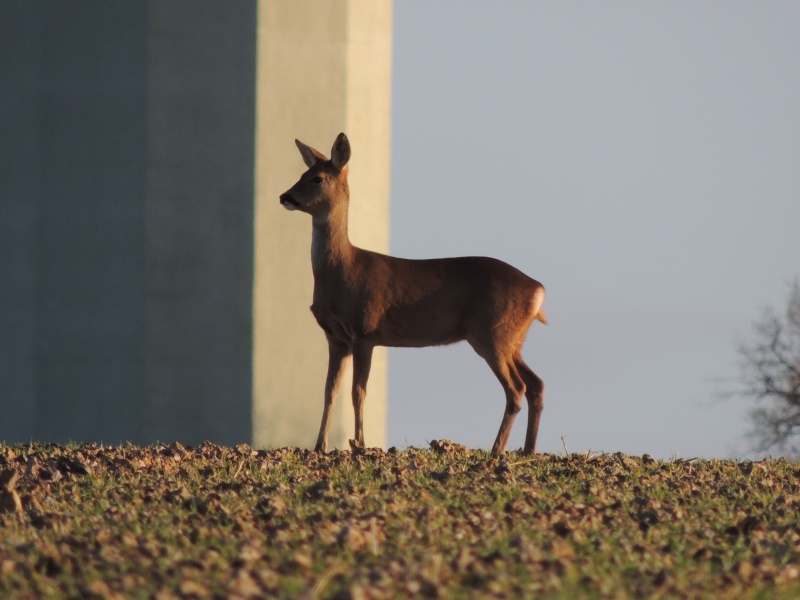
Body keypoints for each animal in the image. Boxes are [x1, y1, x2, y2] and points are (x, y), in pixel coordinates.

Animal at [278, 132, 548, 454]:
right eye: (301, 174)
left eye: (316, 178)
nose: (285, 197)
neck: (340, 271)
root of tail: (538, 289)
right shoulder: (336, 337)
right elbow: (330, 391)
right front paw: (320, 446)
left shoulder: (365, 330)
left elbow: (358, 391)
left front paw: (359, 443)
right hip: (512, 339)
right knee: (536, 384)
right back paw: (527, 449)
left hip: (492, 334)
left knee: (516, 388)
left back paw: (497, 450)